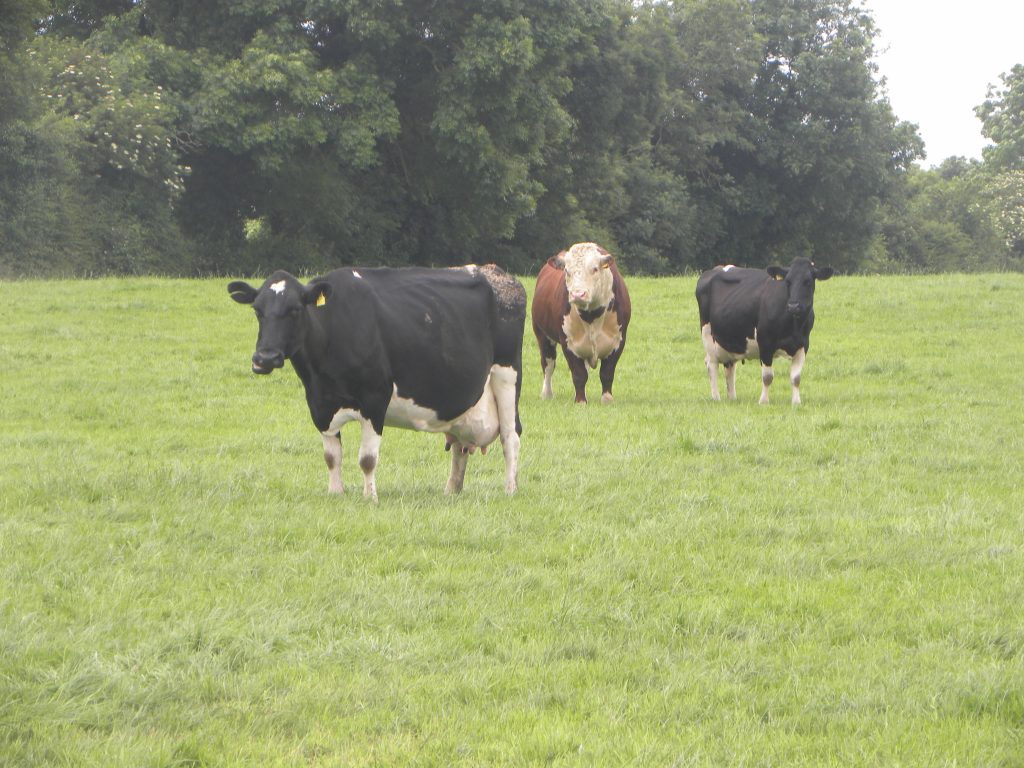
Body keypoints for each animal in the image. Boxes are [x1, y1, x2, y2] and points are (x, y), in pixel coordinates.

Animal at [228, 264, 525, 500]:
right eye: (257, 311)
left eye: (294, 310)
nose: (265, 357)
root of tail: (497, 273)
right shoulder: (319, 403)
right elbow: (331, 456)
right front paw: (335, 493)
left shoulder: (375, 397)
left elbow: (367, 459)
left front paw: (370, 497)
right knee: (460, 444)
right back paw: (452, 490)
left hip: (507, 375)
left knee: (510, 436)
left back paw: (510, 489)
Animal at [531, 242, 632, 404]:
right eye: (567, 270)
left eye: (595, 268)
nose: (578, 294)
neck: (591, 316)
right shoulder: (568, 343)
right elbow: (579, 374)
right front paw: (580, 401)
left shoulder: (618, 341)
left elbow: (607, 373)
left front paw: (607, 399)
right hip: (542, 334)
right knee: (548, 364)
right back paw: (547, 394)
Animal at [695, 257, 833, 405]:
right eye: (788, 281)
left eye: (807, 281)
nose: (793, 305)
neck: (793, 325)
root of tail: (717, 268)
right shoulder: (765, 342)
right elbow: (767, 376)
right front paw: (763, 401)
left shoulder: (803, 344)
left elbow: (796, 378)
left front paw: (796, 402)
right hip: (707, 335)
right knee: (711, 365)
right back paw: (716, 397)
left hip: (730, 340)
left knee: (729, 366)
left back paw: (732, 398)